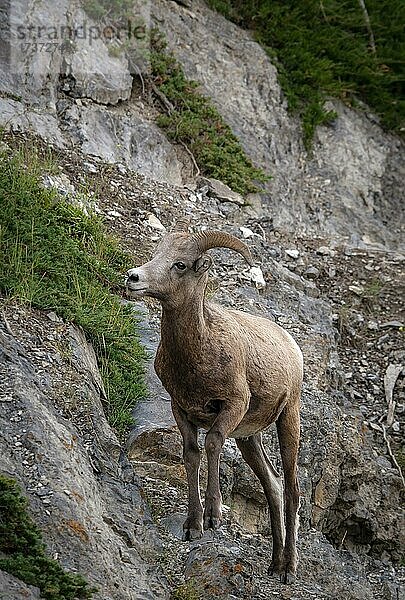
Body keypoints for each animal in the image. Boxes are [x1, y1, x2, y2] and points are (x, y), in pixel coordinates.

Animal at [124, 226, 302, 580]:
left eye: (180, 264)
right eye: (157, 254)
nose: (133, 278)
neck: (198, 351)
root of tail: (292, 346)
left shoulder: (231, 408)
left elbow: (212, 445)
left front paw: (213, 516)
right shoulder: (181, 409)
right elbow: (192, 454)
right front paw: (193, 526)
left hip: (288, 418)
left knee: (290, 489)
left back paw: (289, 569)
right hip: (250, 438)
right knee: (273, 486)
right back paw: (274, 563)